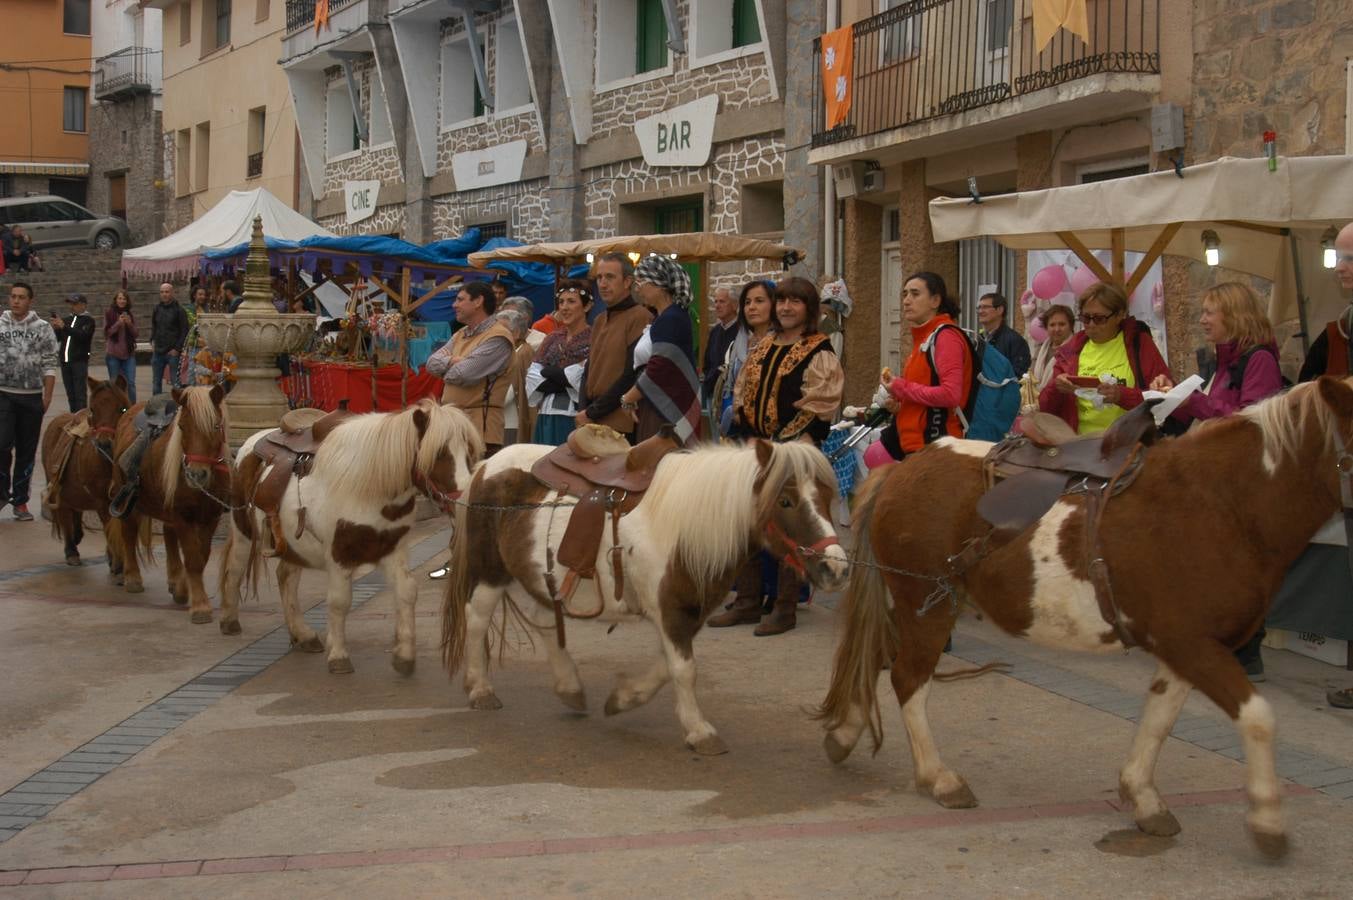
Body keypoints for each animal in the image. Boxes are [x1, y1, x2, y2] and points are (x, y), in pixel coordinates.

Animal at [38, 376, 129, 565]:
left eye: (122, 408)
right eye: (93, 409)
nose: (104, 443)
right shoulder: (103, 503)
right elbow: (110, 530)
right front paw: (116, 564)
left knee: (76, 512)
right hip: (59, 491)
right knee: (65, 514)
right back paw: (71, 550)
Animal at [110, 381, 232, 622]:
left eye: (215, 426)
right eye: (182, 427)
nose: (196, 474)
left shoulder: (210, 517)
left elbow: (201, 556)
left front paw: (184, 589)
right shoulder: (182, 516)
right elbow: (193, 558)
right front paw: (200, 607)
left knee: (168, 534)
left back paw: (175, 579)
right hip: (129, 501)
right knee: (129, 534)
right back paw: (133, 578)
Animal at [225, 400, 487, 673]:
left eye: (468, 452)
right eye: (438, 454)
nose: (463, 500)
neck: (368, 488)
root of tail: (252, 440)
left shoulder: (393, 550)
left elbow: (406, 592)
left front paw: (404, 655)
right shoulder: (339, 556)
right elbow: (340, 602)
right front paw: (339, 657)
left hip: (292, 545)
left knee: (286, 577)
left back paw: (302, 635)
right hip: (243, 530)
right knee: (235, 568)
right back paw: (230, 621)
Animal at [441, 438, 844, 752]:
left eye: (827, 496)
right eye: (786, 501)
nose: (836, 568)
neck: (684, 523)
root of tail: (487, 464)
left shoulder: (685, 612)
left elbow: (668, 666)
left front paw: (623, 700)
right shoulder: (672, 611)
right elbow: (684, 669)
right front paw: (700, 731)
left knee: (543, 622)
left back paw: (570, 688)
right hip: (491, 572)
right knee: (476, 620)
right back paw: (480, 689)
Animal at [811, 376, 1353, 860]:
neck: (1221, 504)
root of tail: (904, 470)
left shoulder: (1185, 646)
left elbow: (1159, 717)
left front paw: (1143, 798)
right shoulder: (1194, 645)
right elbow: (1258, 718)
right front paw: (1267, 821)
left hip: (916, 605)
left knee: (876, 657)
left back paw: (845, 734)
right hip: (929, 603)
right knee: (908, 677)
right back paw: (937, 777)